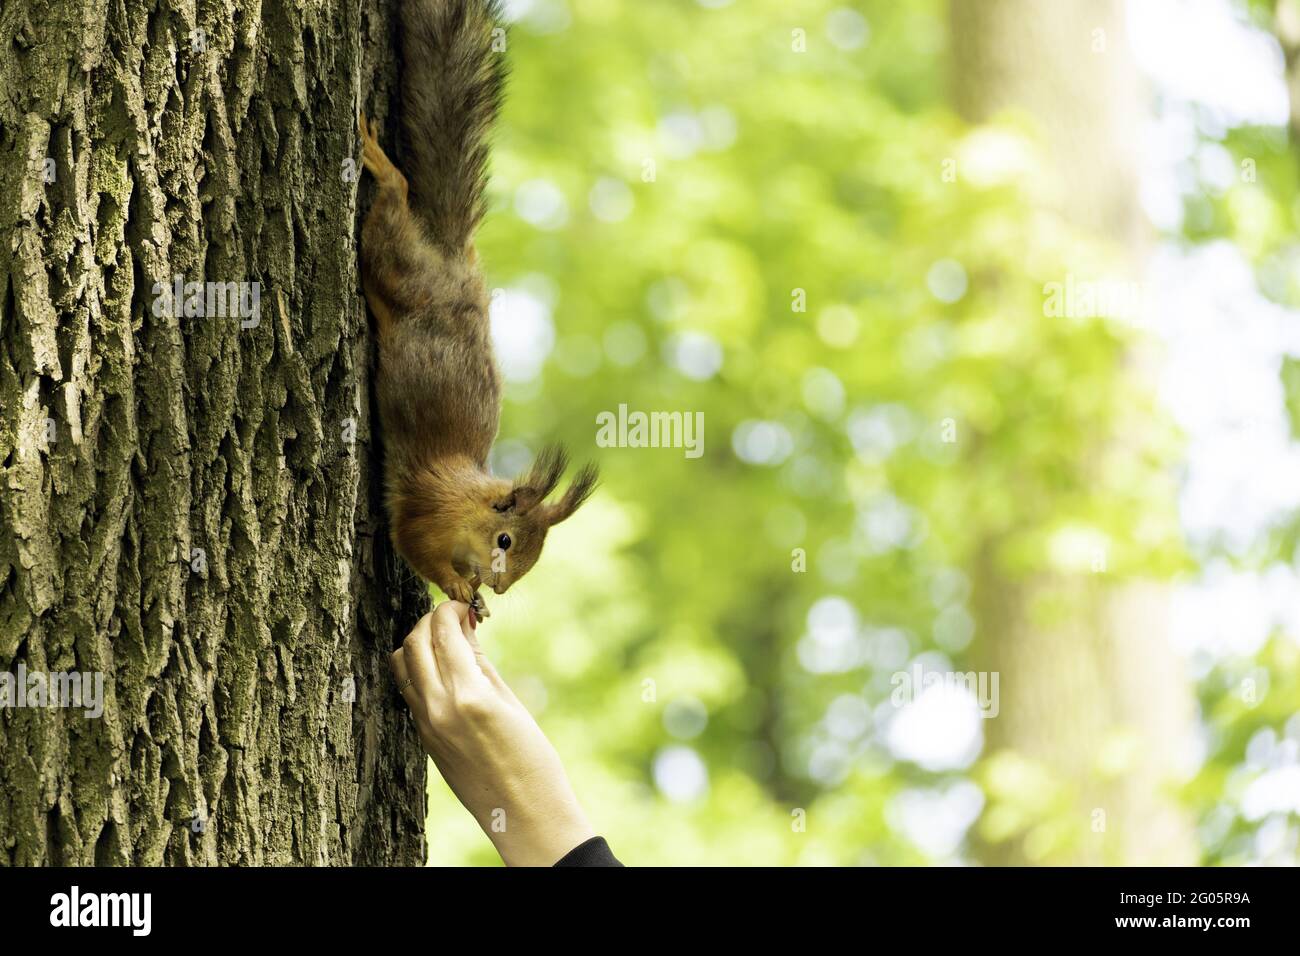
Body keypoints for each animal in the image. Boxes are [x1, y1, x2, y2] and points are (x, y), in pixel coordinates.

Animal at [358, 0, 596, 619]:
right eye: (506, 540)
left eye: (529, 558)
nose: (502, 586)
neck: (468, 499)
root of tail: (450, 255)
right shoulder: (426, 510)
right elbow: (414, 544)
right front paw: (459, 585)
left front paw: (479, 602)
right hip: (396, 269)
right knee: (390, 217)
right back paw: (382, 167)